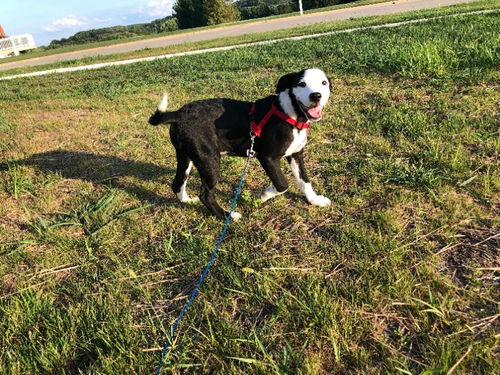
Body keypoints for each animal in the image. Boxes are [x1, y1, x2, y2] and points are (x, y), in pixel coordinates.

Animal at [148, 68, 332, 220]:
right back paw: (226, 216)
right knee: (206, 195)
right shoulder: (268, 157)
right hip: (210, 160)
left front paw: (315, 200)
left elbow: (304, 181)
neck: (292, 114)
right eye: (301, 84)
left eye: (324, 83)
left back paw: (187, 200)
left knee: (177, 183)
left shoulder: (295, 155)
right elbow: (282, 184)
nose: (316, 96)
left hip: (187, 157)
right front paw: (265, 195)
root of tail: (178, 114)